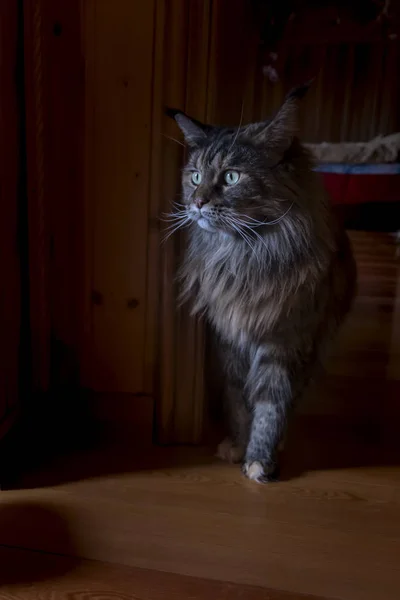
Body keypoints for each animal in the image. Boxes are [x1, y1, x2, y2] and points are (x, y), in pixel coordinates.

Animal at [167, 84, 354, 482]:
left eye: (231, 177)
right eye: (194, 176)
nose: (196, 203)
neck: (247, 255)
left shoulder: (284, 339)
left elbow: (271, 402)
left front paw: (260, 459)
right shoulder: (230, 339)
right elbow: (239, 399)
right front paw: (239, 444)